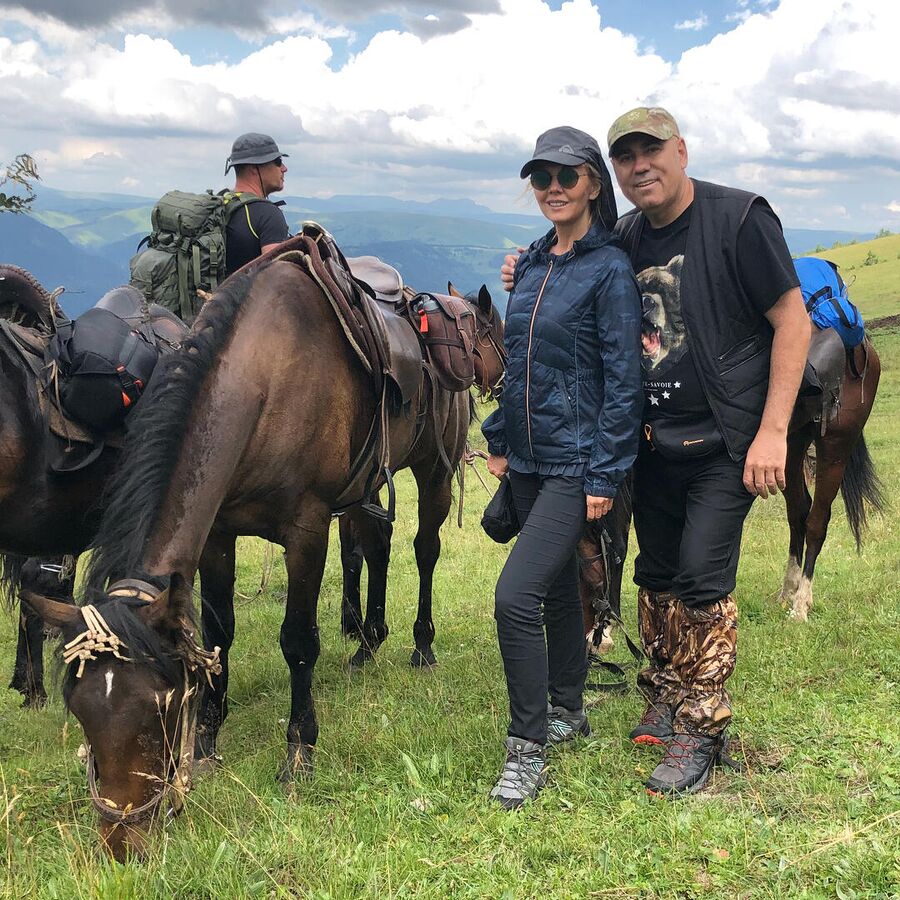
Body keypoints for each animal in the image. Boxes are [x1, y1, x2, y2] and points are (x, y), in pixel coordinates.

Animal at [24, 251, 506, 856]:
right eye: (80, 707)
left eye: (160, 707)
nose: (121, 843)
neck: (265, 382)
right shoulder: (218, 536)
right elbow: (218, 634)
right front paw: (209, 740)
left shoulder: (307, 532)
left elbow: (298, 642)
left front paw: (299, 750)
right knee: (377, 550)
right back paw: (367, 644)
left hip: (435, 469)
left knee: (423, 551)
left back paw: (421, 645)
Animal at [776, 334, 884, 624]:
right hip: (791, 443)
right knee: (798, 514)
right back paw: (789, 591)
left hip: (835, 448)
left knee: (816, 521)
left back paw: (800, 605)